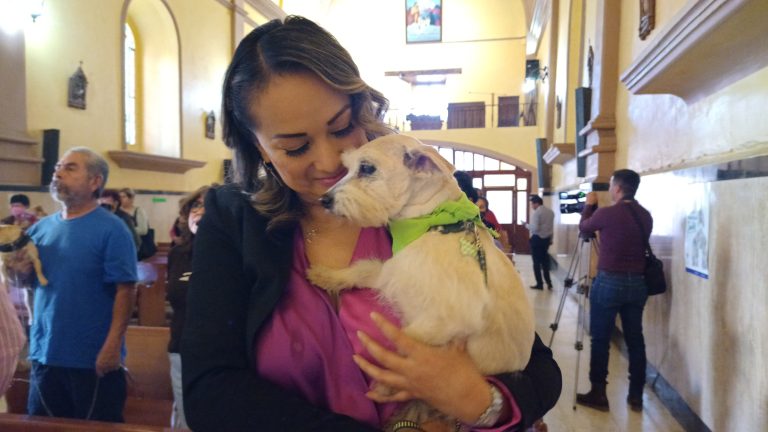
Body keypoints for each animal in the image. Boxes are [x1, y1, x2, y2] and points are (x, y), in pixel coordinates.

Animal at [306, 135, 536, 428]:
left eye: (367, 168)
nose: (323, 199)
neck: (430, 225)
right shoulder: (390, 272)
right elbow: (361, 269)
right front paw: (326, 275)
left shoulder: (448, 317)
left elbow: (406, 341)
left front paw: (386, 382)